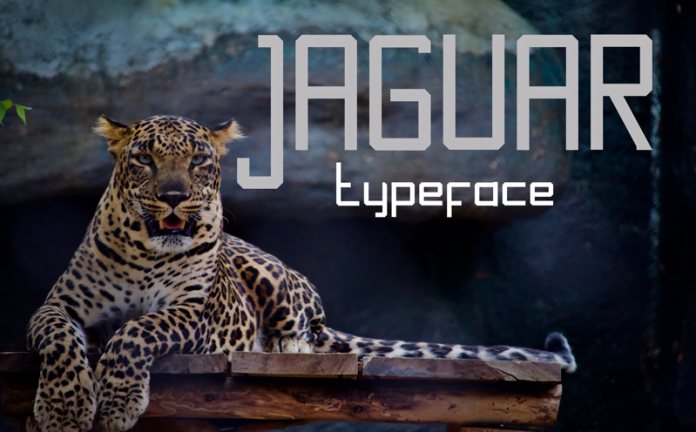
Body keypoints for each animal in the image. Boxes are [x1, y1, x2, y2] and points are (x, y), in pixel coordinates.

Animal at [26, 115, 577, 432]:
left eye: (199, 159)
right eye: (144, 158)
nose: (175, 197)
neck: (146, 252)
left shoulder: (193, 311)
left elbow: (136, 331)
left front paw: (116, 403)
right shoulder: (59, 305)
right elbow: (59, 338)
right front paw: (63, 409)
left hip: (272, 275)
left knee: (305, 330)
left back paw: (285, 346)